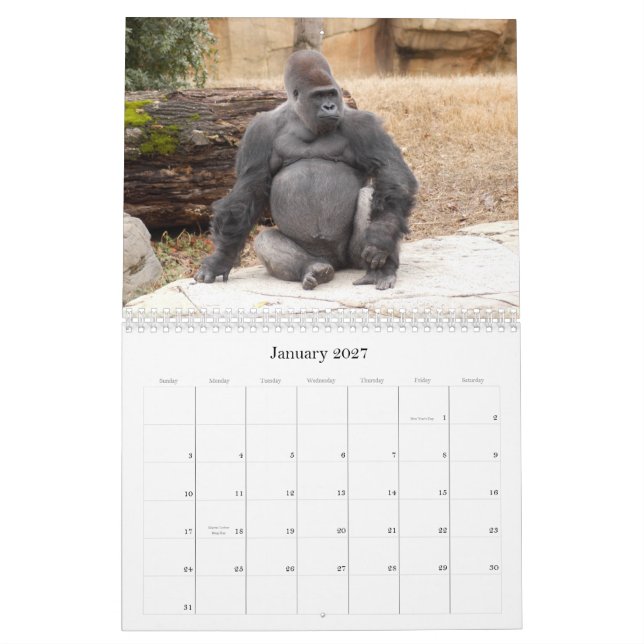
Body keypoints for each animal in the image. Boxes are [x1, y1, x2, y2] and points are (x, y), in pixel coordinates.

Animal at [195, 50, 418, 290]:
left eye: (331, 94)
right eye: (318, 96)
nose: (330, 107)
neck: (302, 119)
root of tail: (337, 263)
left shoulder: (362, 123)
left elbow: (391, 171)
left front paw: (381, 235)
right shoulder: (259, 130)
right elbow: (248, 190)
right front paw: (221, 258)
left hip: (353, 257)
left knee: (372, 197)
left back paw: (382, 270)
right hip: (318, 256)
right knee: (266, 240)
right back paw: (313, 269)